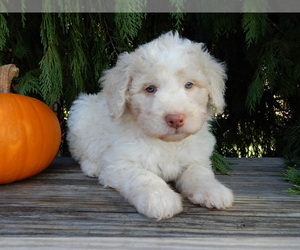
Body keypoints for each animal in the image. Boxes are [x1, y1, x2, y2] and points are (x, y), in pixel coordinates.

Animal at [67, 31, 233, 221]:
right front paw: (160, 198)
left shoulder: (196, 158)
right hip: (80, 113)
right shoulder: (120, 163)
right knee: (81, 153)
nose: (175, 119)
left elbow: (199, 174)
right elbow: (144, 177)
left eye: (189, 85)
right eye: (150, 89)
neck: (168, 144)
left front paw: (213, 190)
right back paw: (92, 167)